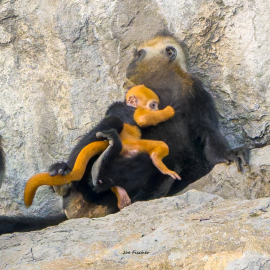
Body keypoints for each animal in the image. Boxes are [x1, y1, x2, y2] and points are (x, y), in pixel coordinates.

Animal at [47, 32, 248, 219]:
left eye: (139, 54)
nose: (129, 64)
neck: (166, 82)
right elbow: (118, 114)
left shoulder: (197, 93)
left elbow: (208, 130)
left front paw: (230, 154)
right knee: (111, 126)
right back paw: (66, 178)